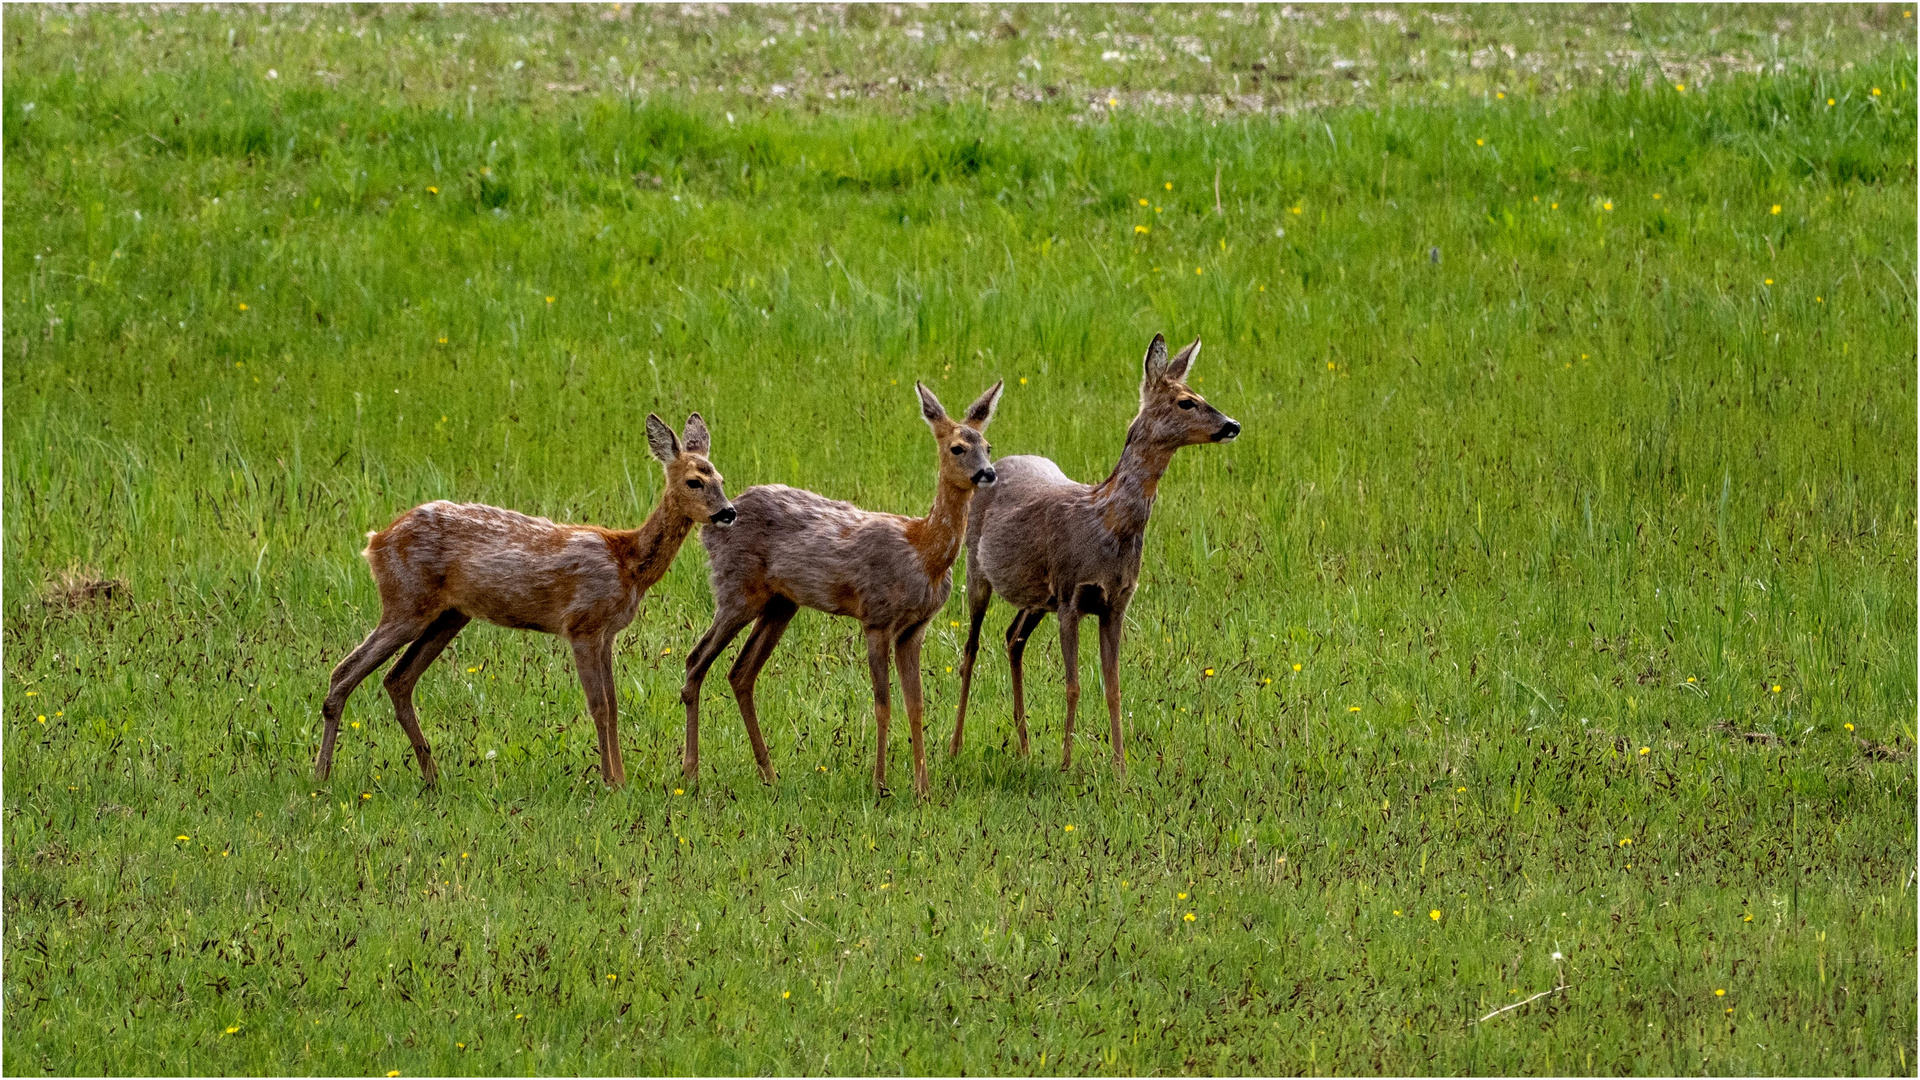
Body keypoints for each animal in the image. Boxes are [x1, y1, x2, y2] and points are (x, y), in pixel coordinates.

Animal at [314, 411, 733, 780]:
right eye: (694, 481)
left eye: (721, 478)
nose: (728, 512)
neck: (627, 561)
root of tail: (375, 543)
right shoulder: (581, 624)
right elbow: (599, 706)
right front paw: (611, 782)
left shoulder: (606, 633)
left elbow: (614, 706)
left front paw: (622, 778)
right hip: (405, 601)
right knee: (343, 672)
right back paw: (322, 775)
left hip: (449, 615)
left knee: (397, 679)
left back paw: (431, 778)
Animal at [679, 376, 1006, 791]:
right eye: (957, 447)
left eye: (988, 446)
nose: (988, 473)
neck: (923, 552)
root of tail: (710, 526)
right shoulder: (877, 617)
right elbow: (883, 705)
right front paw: (880, 784)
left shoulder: (914, 628)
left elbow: (916, 706)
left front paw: (924, 789)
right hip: (736, 590)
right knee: (696, 660)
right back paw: (691, 773)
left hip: (781, 603)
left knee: (740, 673)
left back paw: (769, 774)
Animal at [948, 332, 1244, 768]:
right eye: (1185, 401)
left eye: (1199, 394)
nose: (1232, 425)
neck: (1106, 524)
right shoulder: (1072, 594)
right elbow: (1072, 686)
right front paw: (1067, 764)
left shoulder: (1115, 602)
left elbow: (1114, 687)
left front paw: (1120, 767)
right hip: (977, 569)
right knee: (970, 650)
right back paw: (955, 747)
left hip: (1038, 598)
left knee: (1013, 637)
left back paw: (1025, 747)